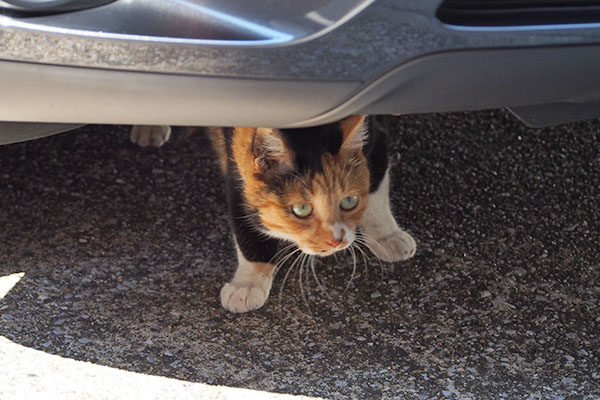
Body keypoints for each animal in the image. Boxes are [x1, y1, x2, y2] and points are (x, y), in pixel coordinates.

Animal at [129, 115, 414, 312]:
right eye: (301, 209)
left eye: (349, 201)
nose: (337, 240)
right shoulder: (237, 171)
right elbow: (247, 227)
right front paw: (248, 284)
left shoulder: (376, 137)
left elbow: (376, 189)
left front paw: (387, 235)